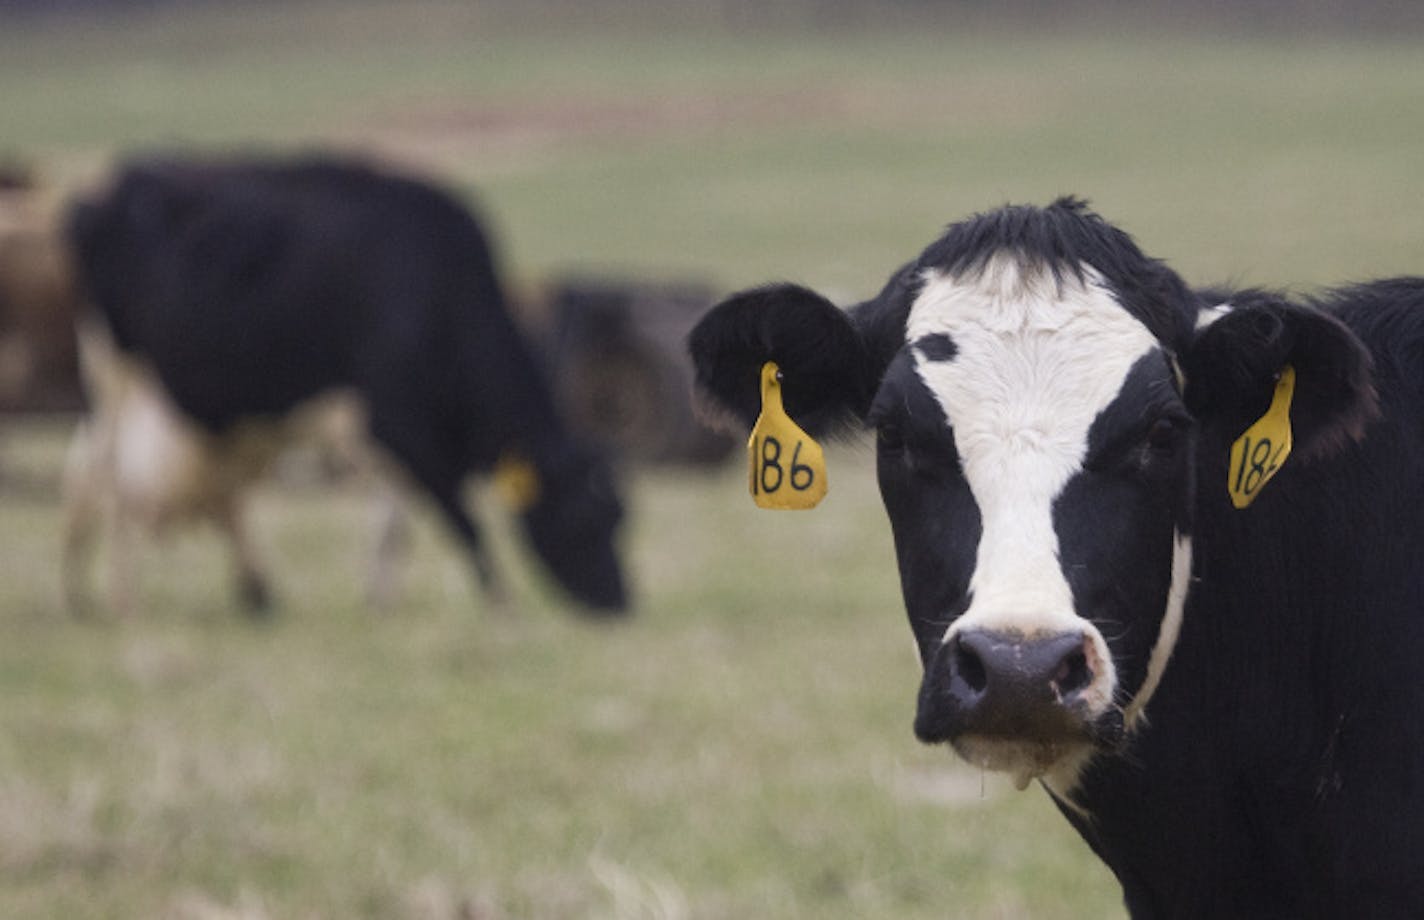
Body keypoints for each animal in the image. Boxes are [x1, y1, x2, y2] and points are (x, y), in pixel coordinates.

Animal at [65, 156, 623, 620]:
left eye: (622, 518)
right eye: (585, 520)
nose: (621, 602)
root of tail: (105, 194)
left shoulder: (386, 435)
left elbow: (392, 523)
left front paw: (379, 601)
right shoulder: (400, 424)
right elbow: (458, 518)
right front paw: (500, 603)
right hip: (120, 382)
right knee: (108, 484)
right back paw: (123, 601)